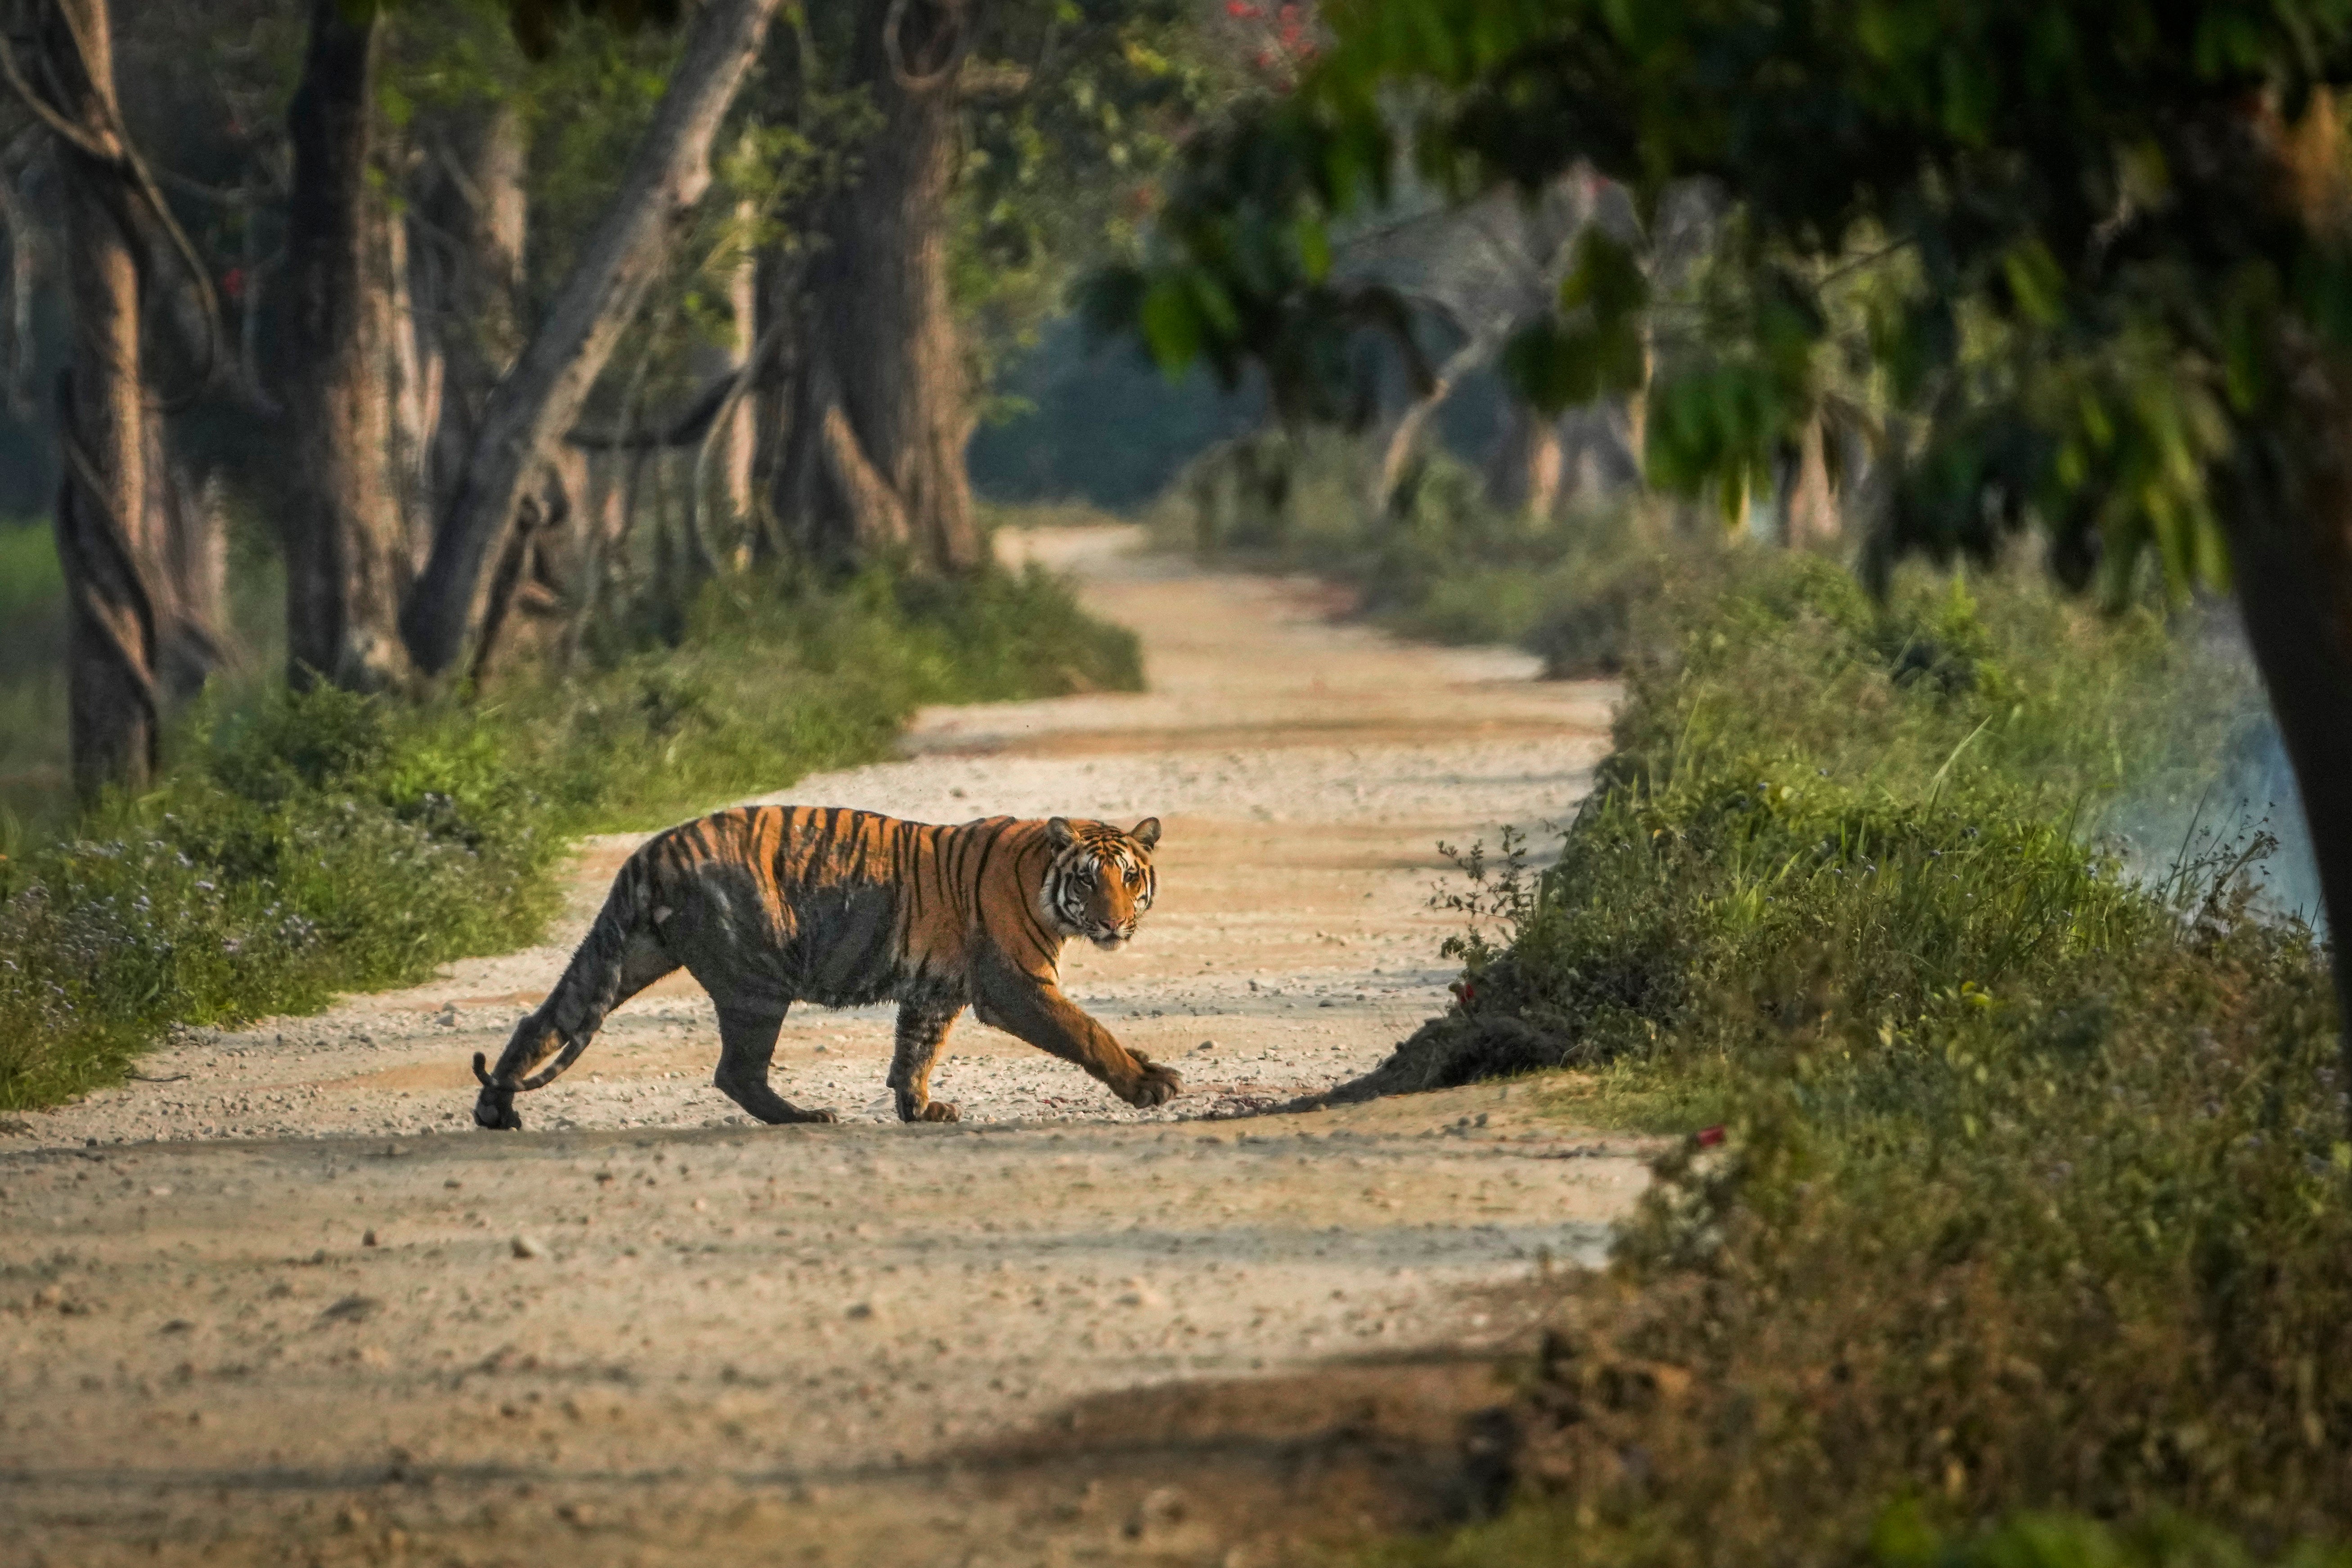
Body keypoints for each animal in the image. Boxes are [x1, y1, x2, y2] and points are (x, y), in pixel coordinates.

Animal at [470, 808, 1185, 1128]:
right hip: (756, 979)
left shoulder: (935, 989)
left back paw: (495, 1106)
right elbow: (1088, 1032)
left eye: (1130, 878)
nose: (1116, 922)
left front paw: (918, 1107)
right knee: (736, 1069)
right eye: (1089, 881)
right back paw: (804, 1117)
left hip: (621, 956)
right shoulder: (1015, 984)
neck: (1041, 876)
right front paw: (1147, 1084)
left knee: (544, 1019)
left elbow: (915, 1050)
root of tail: (652, 852)